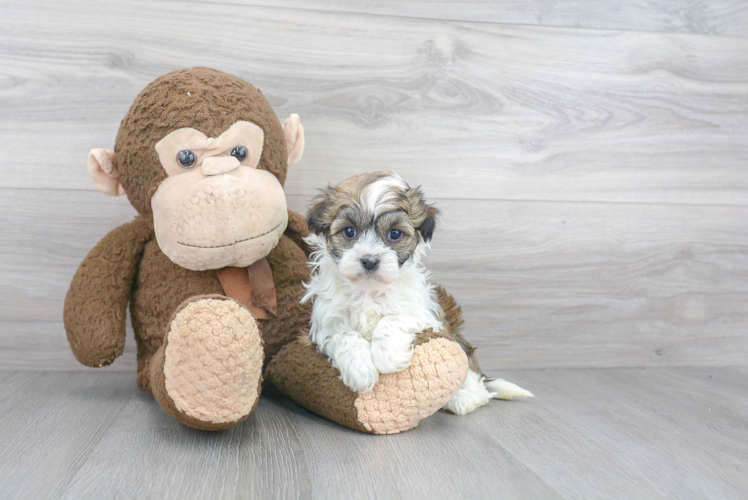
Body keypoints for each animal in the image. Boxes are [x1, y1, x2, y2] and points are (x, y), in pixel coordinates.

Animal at [300, 171, 532, 414]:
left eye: (394, 234)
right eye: (349, 231)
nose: (370, 260)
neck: (369, 291)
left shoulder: (426, 314)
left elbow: (392, 320)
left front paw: (388, 358)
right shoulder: (325, 324)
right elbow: (344, 336)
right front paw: (360, 370)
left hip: (459, 344)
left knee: (474, 382)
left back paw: (463, 398)